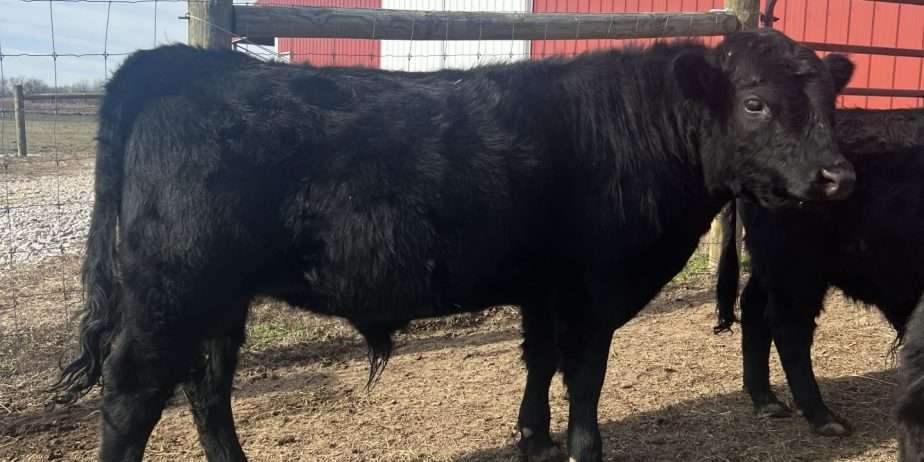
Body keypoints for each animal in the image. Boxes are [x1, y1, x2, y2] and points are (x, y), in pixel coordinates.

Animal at [52, 29, 854, 462]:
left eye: (829, 101)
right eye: (755, 102)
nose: (838, 176)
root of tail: (179, 63)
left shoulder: (544, 286)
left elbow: (540, 363)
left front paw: (533, 437)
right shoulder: (593, 287)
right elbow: (585, 376)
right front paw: (582, 447)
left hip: (218, 298)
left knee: (207, 387)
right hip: (173, 290)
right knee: (133, 394)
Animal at [714, 107, 924, 436]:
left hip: (772, 265)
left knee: (754, 308)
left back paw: (768, 403)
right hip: (798, 269)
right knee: (790, 329)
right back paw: (825, 419)